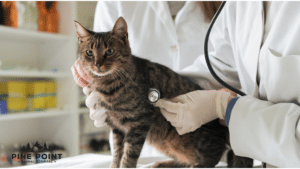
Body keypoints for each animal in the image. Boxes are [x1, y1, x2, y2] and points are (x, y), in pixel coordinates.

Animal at [74, 17, 253, 168]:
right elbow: (117, 153)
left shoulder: (139, 122)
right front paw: (114, 165)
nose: (97, 64)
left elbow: (129, 155)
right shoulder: (116, 128)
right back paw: (162, 163)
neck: (106, 85)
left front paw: (125, 164)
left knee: (212, 155)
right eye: (89, 53)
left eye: (109, 51)